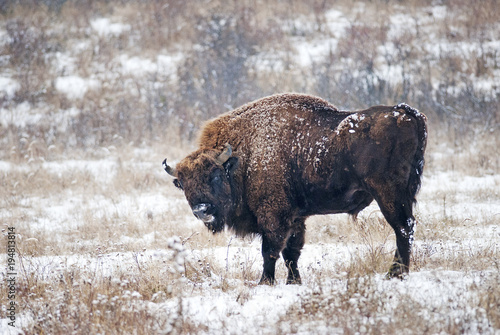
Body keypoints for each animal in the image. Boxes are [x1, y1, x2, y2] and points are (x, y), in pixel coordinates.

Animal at [163, 93, 426, 284]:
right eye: (182, 184)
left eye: (215, 176)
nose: (201, 210)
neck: (244, 156)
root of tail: (406, 113)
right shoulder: (295, 217)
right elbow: (292, 253)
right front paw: (293, 282)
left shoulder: (274, 216)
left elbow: (270, 251)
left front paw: (265, 282)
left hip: (388, 194)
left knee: (403, 228)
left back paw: (395, 274)